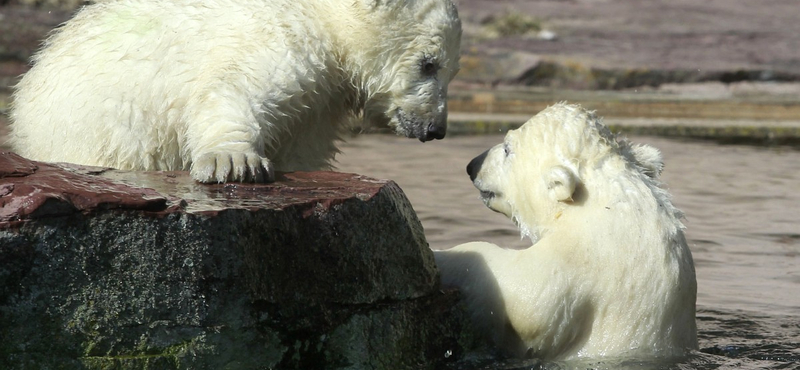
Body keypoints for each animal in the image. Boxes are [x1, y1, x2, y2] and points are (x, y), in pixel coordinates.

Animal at [10, 0, 462, 183]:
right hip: (97, 136)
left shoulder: (318, 106)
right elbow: (234, 87)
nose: (435, 129)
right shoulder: (282, 37)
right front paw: (232, 162)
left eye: (452, 71)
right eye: (427, 64)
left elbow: (301, 146)